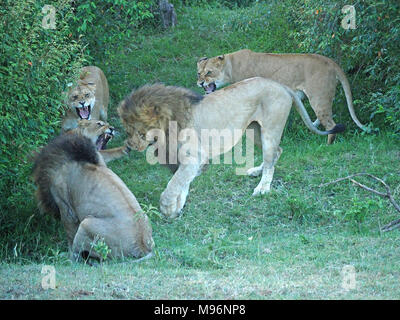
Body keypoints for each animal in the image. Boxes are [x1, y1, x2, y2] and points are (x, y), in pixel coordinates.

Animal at [32, 119, 154, 262]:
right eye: (99, 124)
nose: (112, 128)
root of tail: (143, 247)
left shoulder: (65, 207)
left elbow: (69, 235)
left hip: (86, 223)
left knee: (78, 255)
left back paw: (66, 258)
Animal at [117, 77, 346, 218]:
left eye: (138, 132)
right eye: (126, 130)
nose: (129, 146)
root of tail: (281, 85)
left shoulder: (194, 158)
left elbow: (174, 185)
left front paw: (167, 208)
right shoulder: (187, 162)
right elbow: (181, 185)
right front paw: (177, 208)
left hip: (269, 130)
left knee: (271, 158)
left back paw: (263, 188)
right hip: (254, 130)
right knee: (276, 153)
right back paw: (257, 172)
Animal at [197, 48, 366, 144]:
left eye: (209, 72)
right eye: (199, 73)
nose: (199, 83)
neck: (231, 66)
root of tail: (331, 62)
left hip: (319, 97)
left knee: (331, 125)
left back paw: (327, 146)